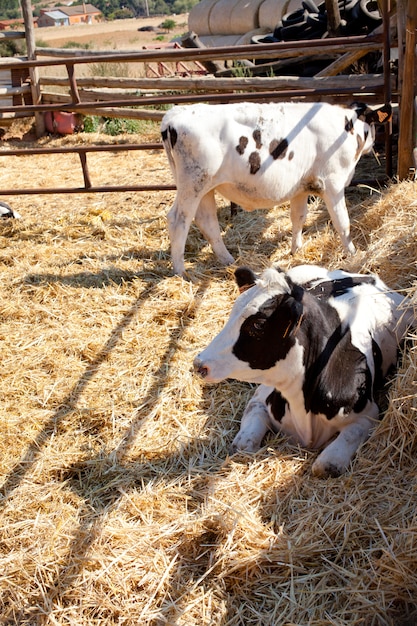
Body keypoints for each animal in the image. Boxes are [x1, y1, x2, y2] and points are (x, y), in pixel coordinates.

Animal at [160, 100, 390, 276]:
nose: (374, 144)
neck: (346, 125)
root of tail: (175, 114)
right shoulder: (332, 183)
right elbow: (343, 223)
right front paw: (353, 253)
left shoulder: (301, 187)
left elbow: (298, 217)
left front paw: (296, 250)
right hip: (193, 184)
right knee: (178, 221)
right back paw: (181, 272)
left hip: (205, 188)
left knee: (207, 222)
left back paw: (228, 260)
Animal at [194, 264, 412, 478]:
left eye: (258, 324)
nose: (199, 364)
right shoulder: (260, 398)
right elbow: (242, 445)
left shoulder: (368, 414)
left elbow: (325, 465)